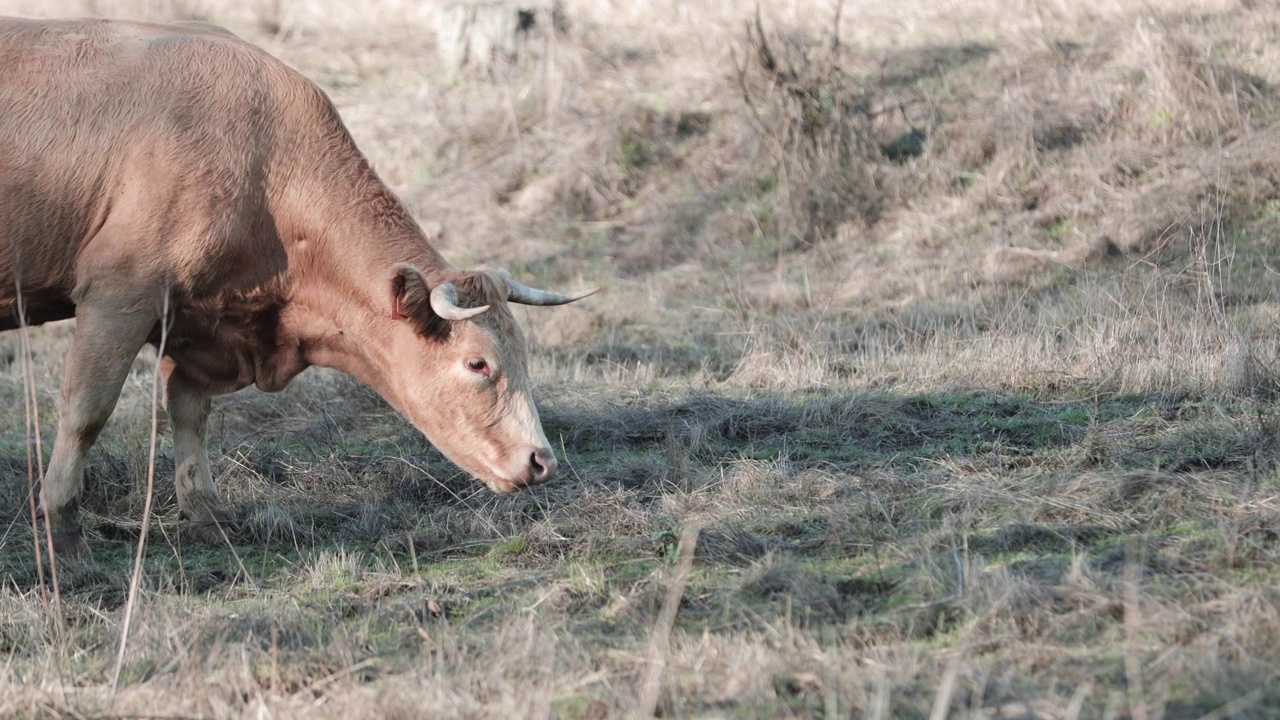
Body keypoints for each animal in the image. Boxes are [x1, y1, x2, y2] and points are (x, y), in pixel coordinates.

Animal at [0, 16, 596, 556]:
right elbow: (87, 411)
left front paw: (209, 515)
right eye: (477, 363)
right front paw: (63, 531)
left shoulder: (195, 325)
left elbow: (189, 413)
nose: (542, 462)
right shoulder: (119, 290)